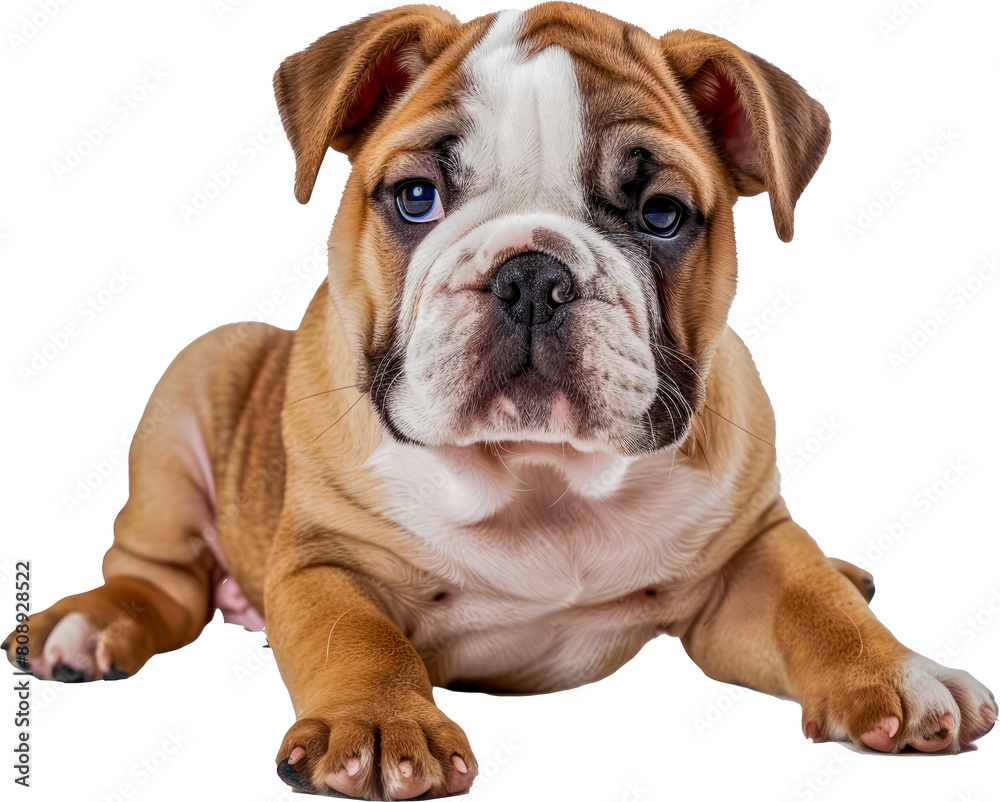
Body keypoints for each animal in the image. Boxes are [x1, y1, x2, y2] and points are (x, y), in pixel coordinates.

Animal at [3, 3, 996, 796]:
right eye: (415, 198)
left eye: (662, 216)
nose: (532, 276)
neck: (539, 474)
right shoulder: (329, 561)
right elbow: (353, 637)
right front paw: (379, 726)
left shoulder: (746, 562)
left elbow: (814, 605)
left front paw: (900, 673)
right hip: (188, 391)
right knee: (158, 581)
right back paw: (86, 625)